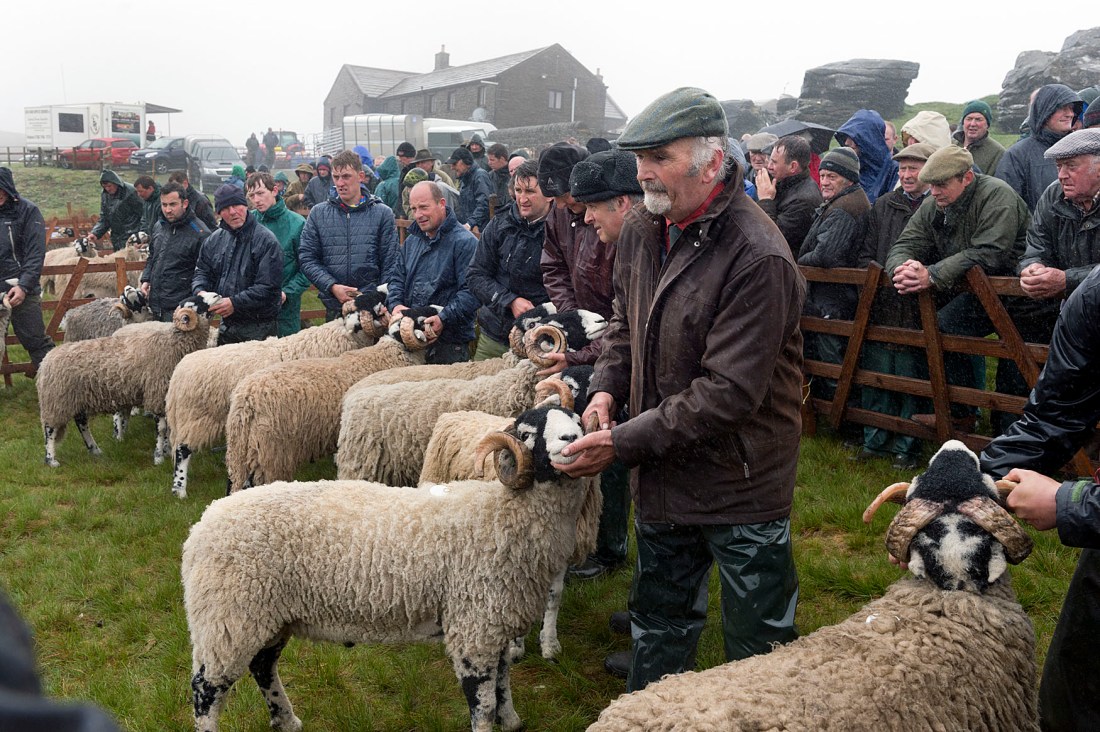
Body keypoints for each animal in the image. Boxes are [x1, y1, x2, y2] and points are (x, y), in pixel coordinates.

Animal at [37, 295, 217, 469]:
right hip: (56, 400)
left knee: (81, 423)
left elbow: (167, 429)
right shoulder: (156, 393)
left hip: (75, 399)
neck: (171, 343)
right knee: (50, 429)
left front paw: (165, 450)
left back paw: (94, 449)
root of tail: (46, 360)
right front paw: (158, 456)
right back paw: (51, 459)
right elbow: (161, 428)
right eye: (197, 303)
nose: (217, 295)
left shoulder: (166, 396)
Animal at [164, 289, 388, 499]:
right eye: (370, 301)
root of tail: (180, 369)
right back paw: (180, 490)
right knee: (182, 449)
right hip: (197, 416)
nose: (385, 289)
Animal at [182, 405, 590, 732]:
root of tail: (201, 525)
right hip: (228, 615)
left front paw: (513, 721)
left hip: (265, 614)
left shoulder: (495, 623)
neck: (501, 513)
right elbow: (483, 701)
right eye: (527, 433)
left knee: (263, 665)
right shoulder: (472, 626)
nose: (572, 440)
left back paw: (286, 721)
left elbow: (503, 683)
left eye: (577, 420)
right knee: (206, 689)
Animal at [222, 308, 438, 493]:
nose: (437, 314)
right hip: (271, 453)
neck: (390, 353)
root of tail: (246, 401)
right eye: (421, 320)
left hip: (240, 452)